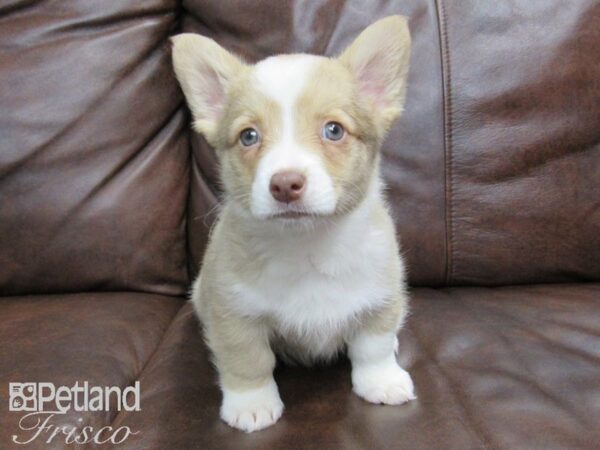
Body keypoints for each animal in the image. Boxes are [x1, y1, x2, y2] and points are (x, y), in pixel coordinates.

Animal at [171, 15, 410, 434]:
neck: (307, 244)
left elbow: (374, 346)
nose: (284, 184)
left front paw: (382, 381)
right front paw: (251, 404)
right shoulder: (235, 314)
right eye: (249, 136)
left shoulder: (382, 297)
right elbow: (247, 360)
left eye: (334, 130)